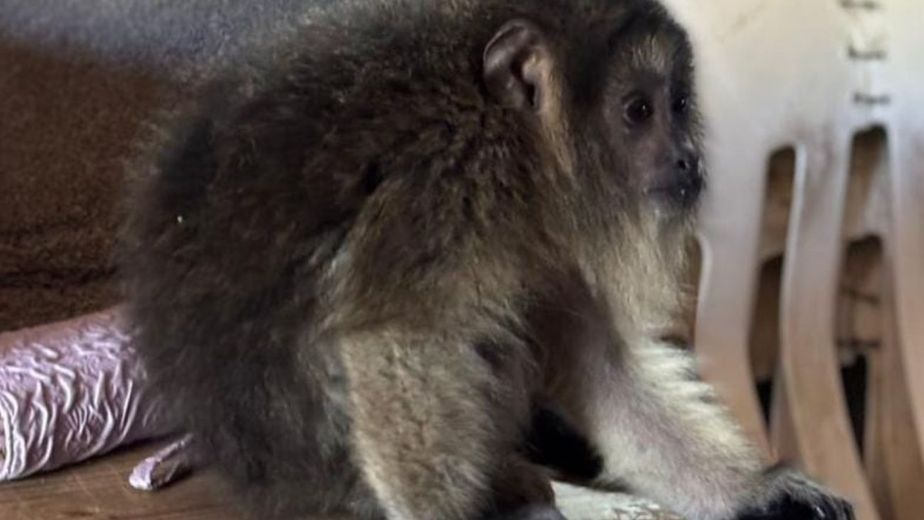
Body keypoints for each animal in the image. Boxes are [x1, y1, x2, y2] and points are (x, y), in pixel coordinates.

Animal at [119, 0, 855, 519]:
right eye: (637, 110)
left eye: (677, 105)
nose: (687, 158)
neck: (519, 144)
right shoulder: (449, 180)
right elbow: (393, 336)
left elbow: (603, 369)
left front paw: (755, 490)